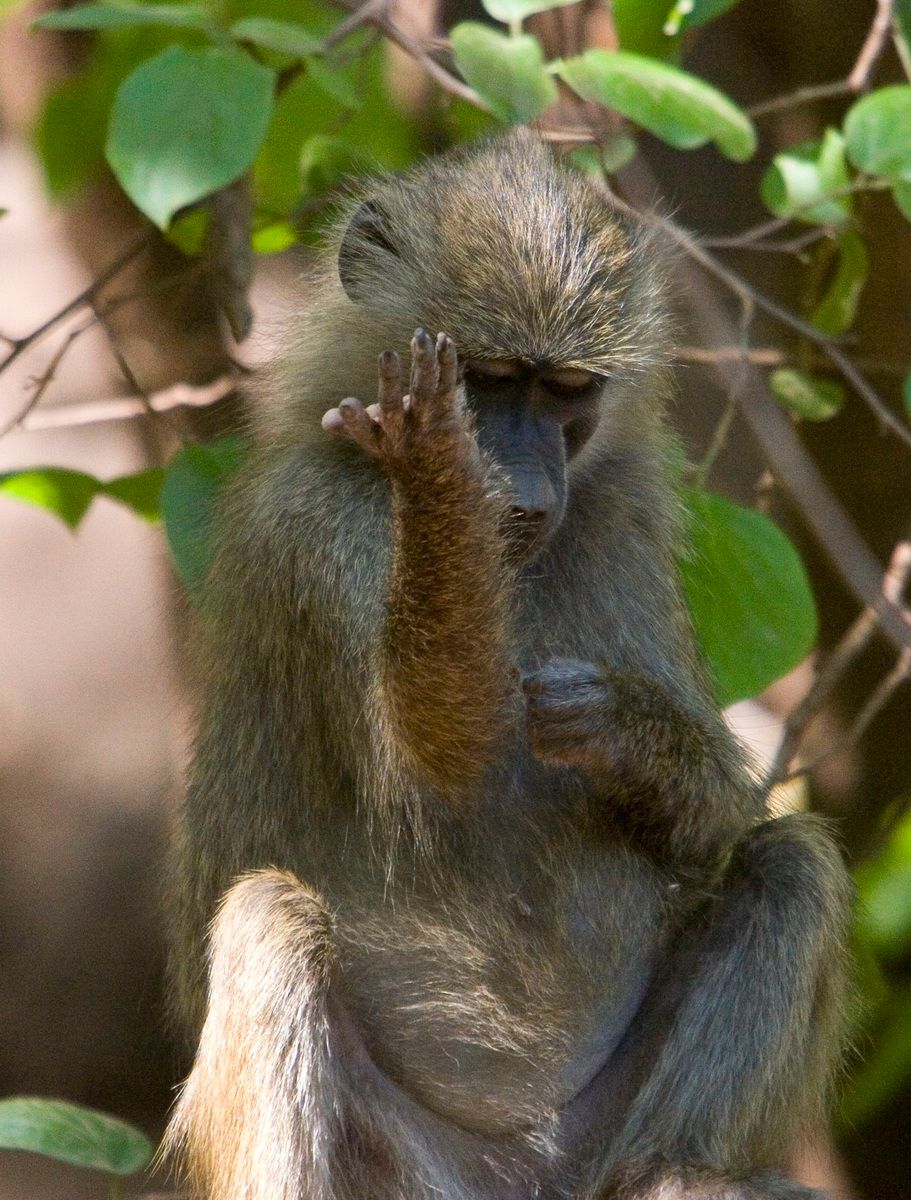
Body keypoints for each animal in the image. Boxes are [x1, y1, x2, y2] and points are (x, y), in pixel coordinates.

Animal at [164, 129, 851, 1200]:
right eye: (486, 377)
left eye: (566, 390)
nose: (521, 493)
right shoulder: (319, 526)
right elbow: (436, 770)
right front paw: (436, 472)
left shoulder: (624, 522)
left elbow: (715, 829)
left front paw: (614, 728)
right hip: (402, 1164)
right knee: (269, 919)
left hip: (597, 1143)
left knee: (792, 864)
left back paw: (676, 1174)